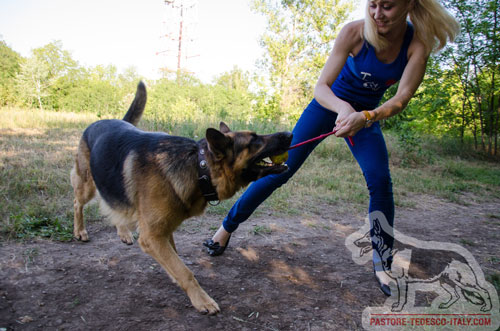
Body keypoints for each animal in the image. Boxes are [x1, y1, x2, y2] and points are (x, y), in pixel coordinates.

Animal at [70, 81, 292, 316]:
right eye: (255, 140)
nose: (290, 133)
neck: (199, 167)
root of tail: (104, 121)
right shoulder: (152, 236)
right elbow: (183, 270)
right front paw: (201, 299)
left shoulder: (164, 231)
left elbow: (176, 261)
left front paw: (174, 277)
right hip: (87, 185)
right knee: (77, 203)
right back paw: (80, 231)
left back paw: (123, 232)